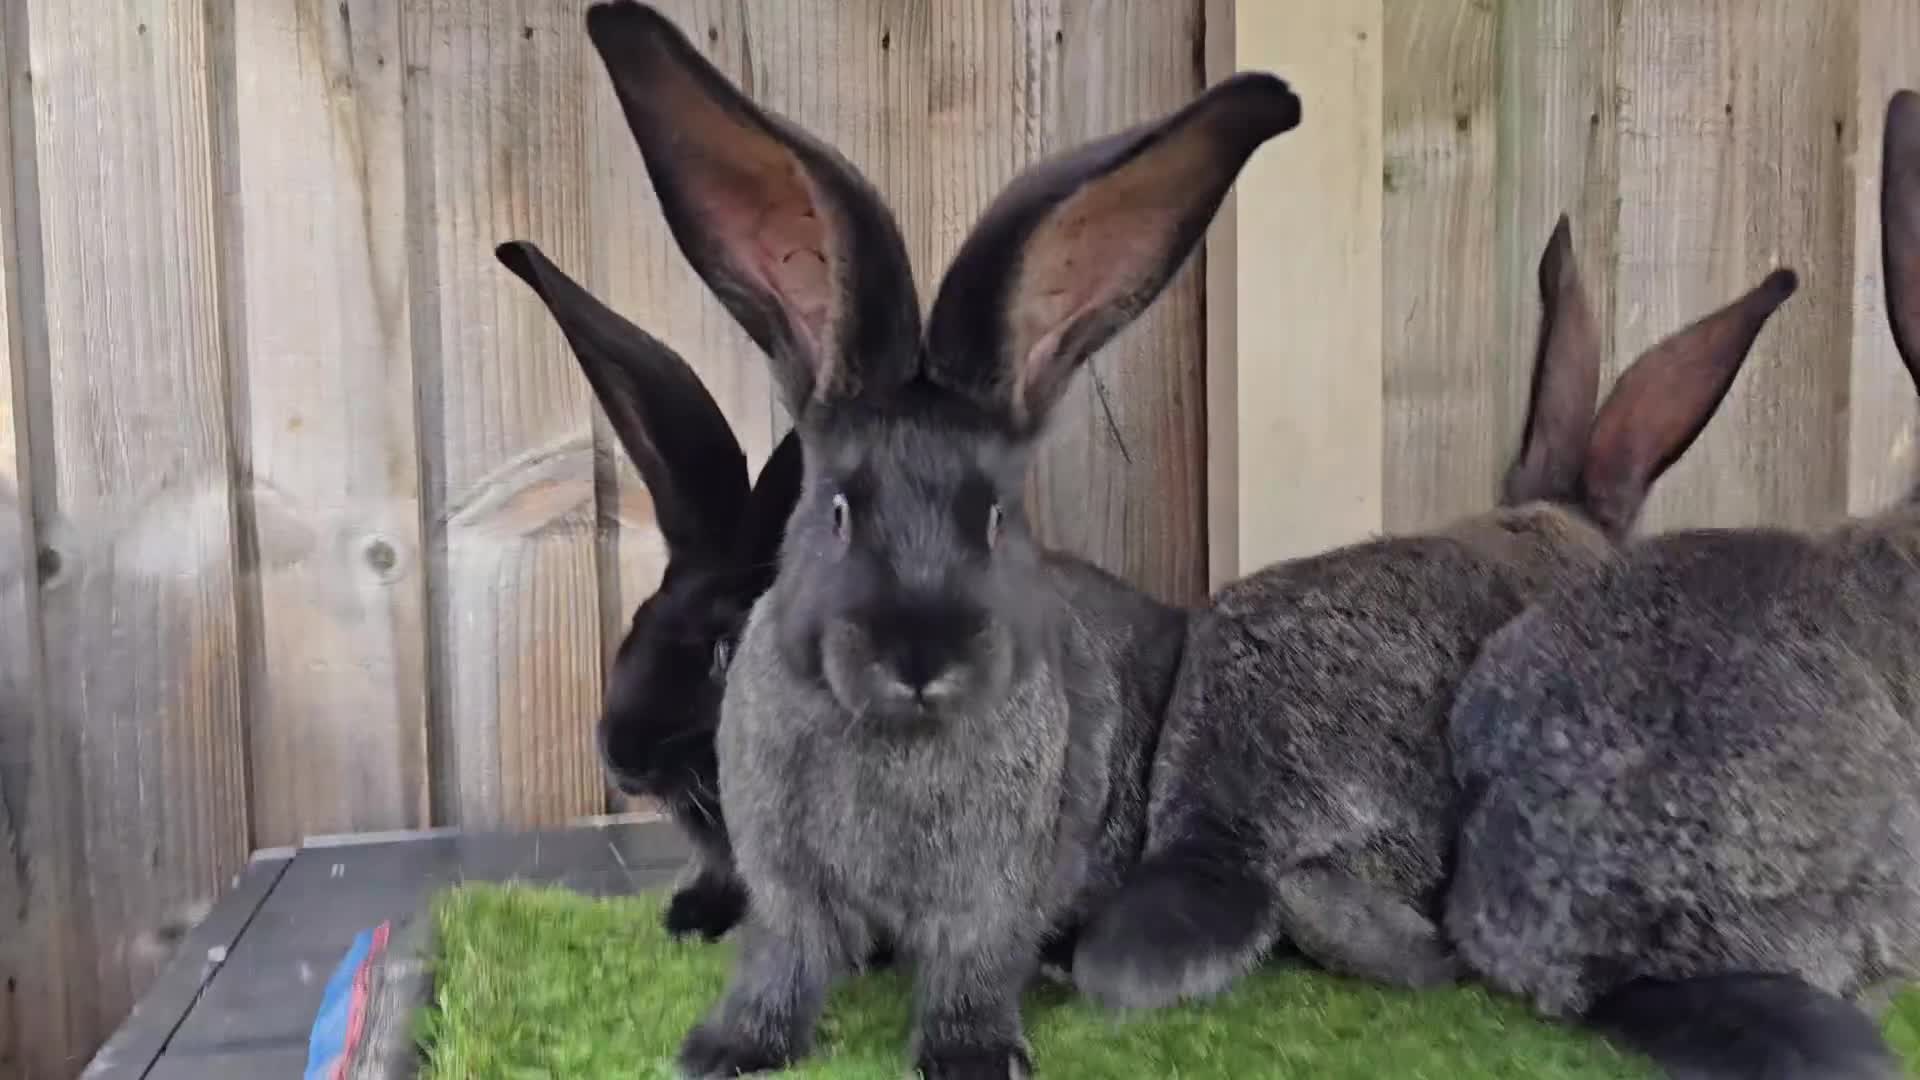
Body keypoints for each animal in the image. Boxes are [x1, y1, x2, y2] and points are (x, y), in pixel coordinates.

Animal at [576, 3, 1298, 1075]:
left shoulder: (995, 887)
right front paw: (725, 1049)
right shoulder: (784, 883)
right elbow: (782, 959)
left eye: (996, 517)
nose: (922, 655)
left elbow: (972, 964)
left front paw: (971, 1057)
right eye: (837, 511)